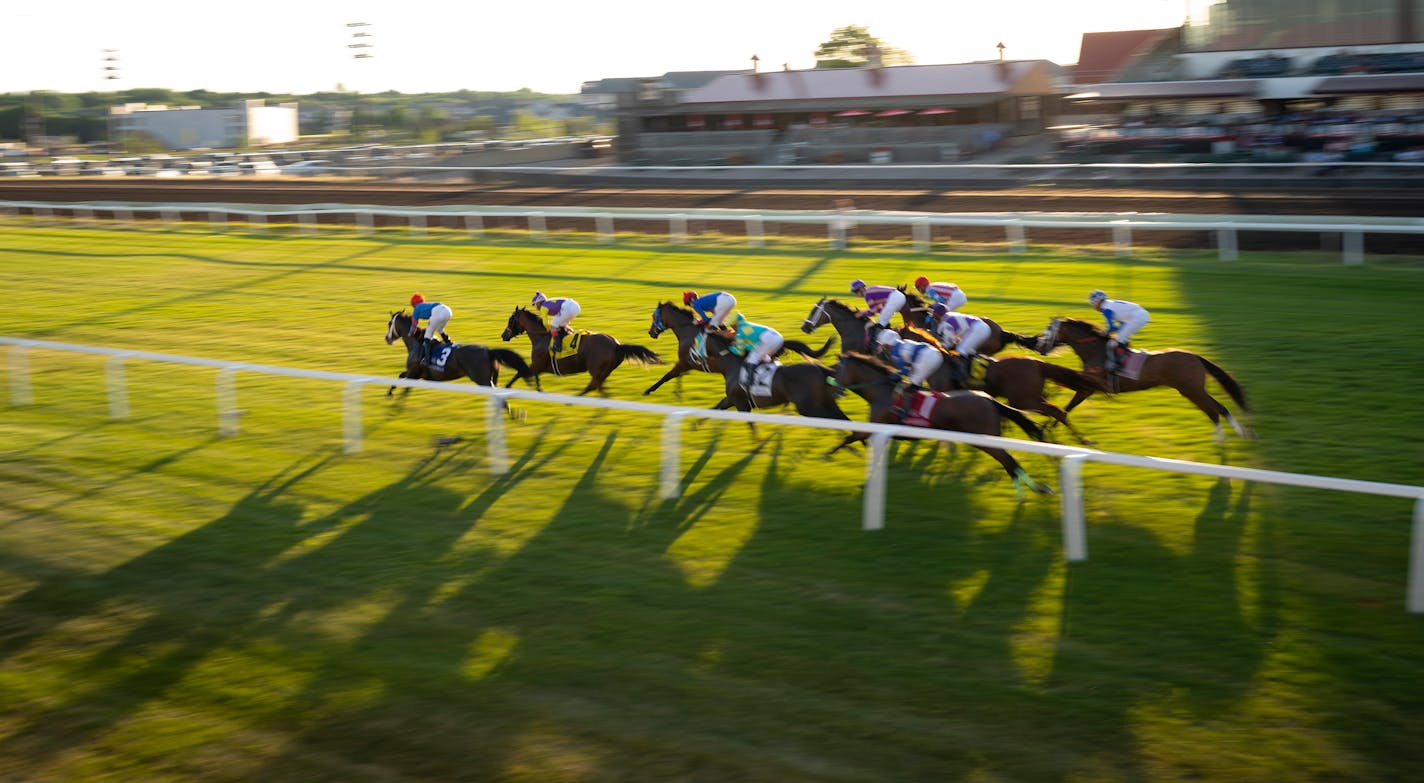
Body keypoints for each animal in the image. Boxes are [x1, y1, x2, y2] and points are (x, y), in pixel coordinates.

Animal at [384, 311, 535, 398]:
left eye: (389, 323)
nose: (387, 338)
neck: (417, 342)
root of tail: (488, 351)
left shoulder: (413, 373)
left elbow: (403, 384)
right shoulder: (414, 373)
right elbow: (399, 376)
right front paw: (390, 392)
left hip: (483, 380)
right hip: (492, 377)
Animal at [504, 303, 663, 395]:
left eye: (511, 320)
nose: (503, 335)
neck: (541, 337)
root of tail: (617, 345)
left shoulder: (537, 364)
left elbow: (520, 372)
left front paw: (506, 386)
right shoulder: (538, 367)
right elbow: (529, 376)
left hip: (596, 369)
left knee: (593, 386)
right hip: (604, 372)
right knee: (599, 388)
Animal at [643, 300, 831, 398]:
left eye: (653, 316)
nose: (651, 332)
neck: (687, 330)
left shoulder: (684, 362)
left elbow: (667, 376)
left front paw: (648, 390)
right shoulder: (688, 364)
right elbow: (677, 376)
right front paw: (677, 392)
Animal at [831, 354, 1053, 501]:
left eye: (836, 369)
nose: (834, 387)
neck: (882, 393)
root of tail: (989, 400)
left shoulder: (875, 426)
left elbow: (850, 437)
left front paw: (829, 454)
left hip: (984, 439)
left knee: (1010, 462)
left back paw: (1027, 492)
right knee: (1010, 462)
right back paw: (1033, 490)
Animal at [1030, 317, 1253, 441]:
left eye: (1048, 330)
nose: (1039, 346)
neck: (1094, 351)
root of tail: (1194, 356)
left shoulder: (1093, 385)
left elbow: (1067, 397)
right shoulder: (1087, 388)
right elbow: (1067, 407)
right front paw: (1047, 426)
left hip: (1191, 389)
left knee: (1214, 410)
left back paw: (1223, 437)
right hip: (1193, 389)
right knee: (1219, 408)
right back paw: (1240, 433)